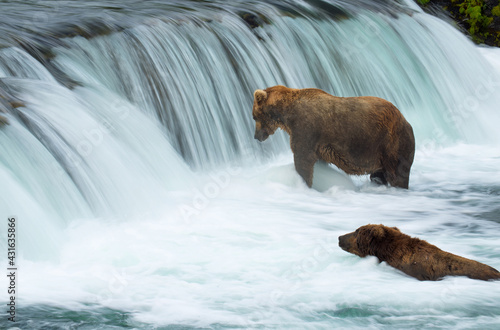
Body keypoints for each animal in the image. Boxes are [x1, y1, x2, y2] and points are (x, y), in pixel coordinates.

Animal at [254, 85, 414, 188]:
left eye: (254, 116)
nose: (256, 136)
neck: (287, 114)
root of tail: (406, 121)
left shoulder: (306, 129)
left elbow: (303, 160)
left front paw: (304, 183)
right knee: (378, 175)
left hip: (391, 144)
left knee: (398, 174)